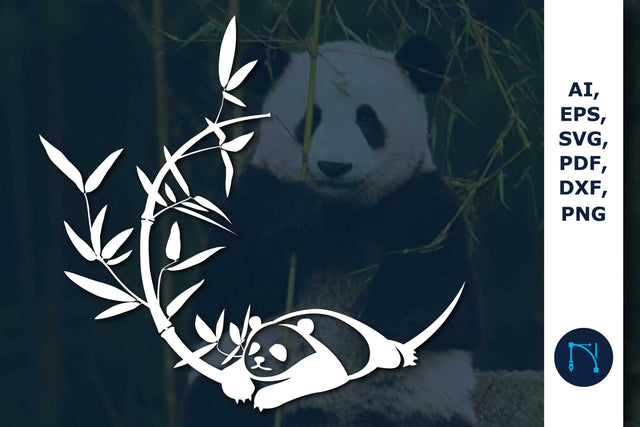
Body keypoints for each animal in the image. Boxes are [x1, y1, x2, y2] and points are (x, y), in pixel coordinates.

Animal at [182, 36, 480, 426]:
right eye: (312, 119)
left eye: (367, 119)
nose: (334, 166)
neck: (343, 216)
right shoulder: (251, 195)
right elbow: (221, 299)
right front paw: (294, 216)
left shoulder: (420, 201)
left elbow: (449, 306)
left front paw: (381, 314)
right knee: (216, 407)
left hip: (421, 406)